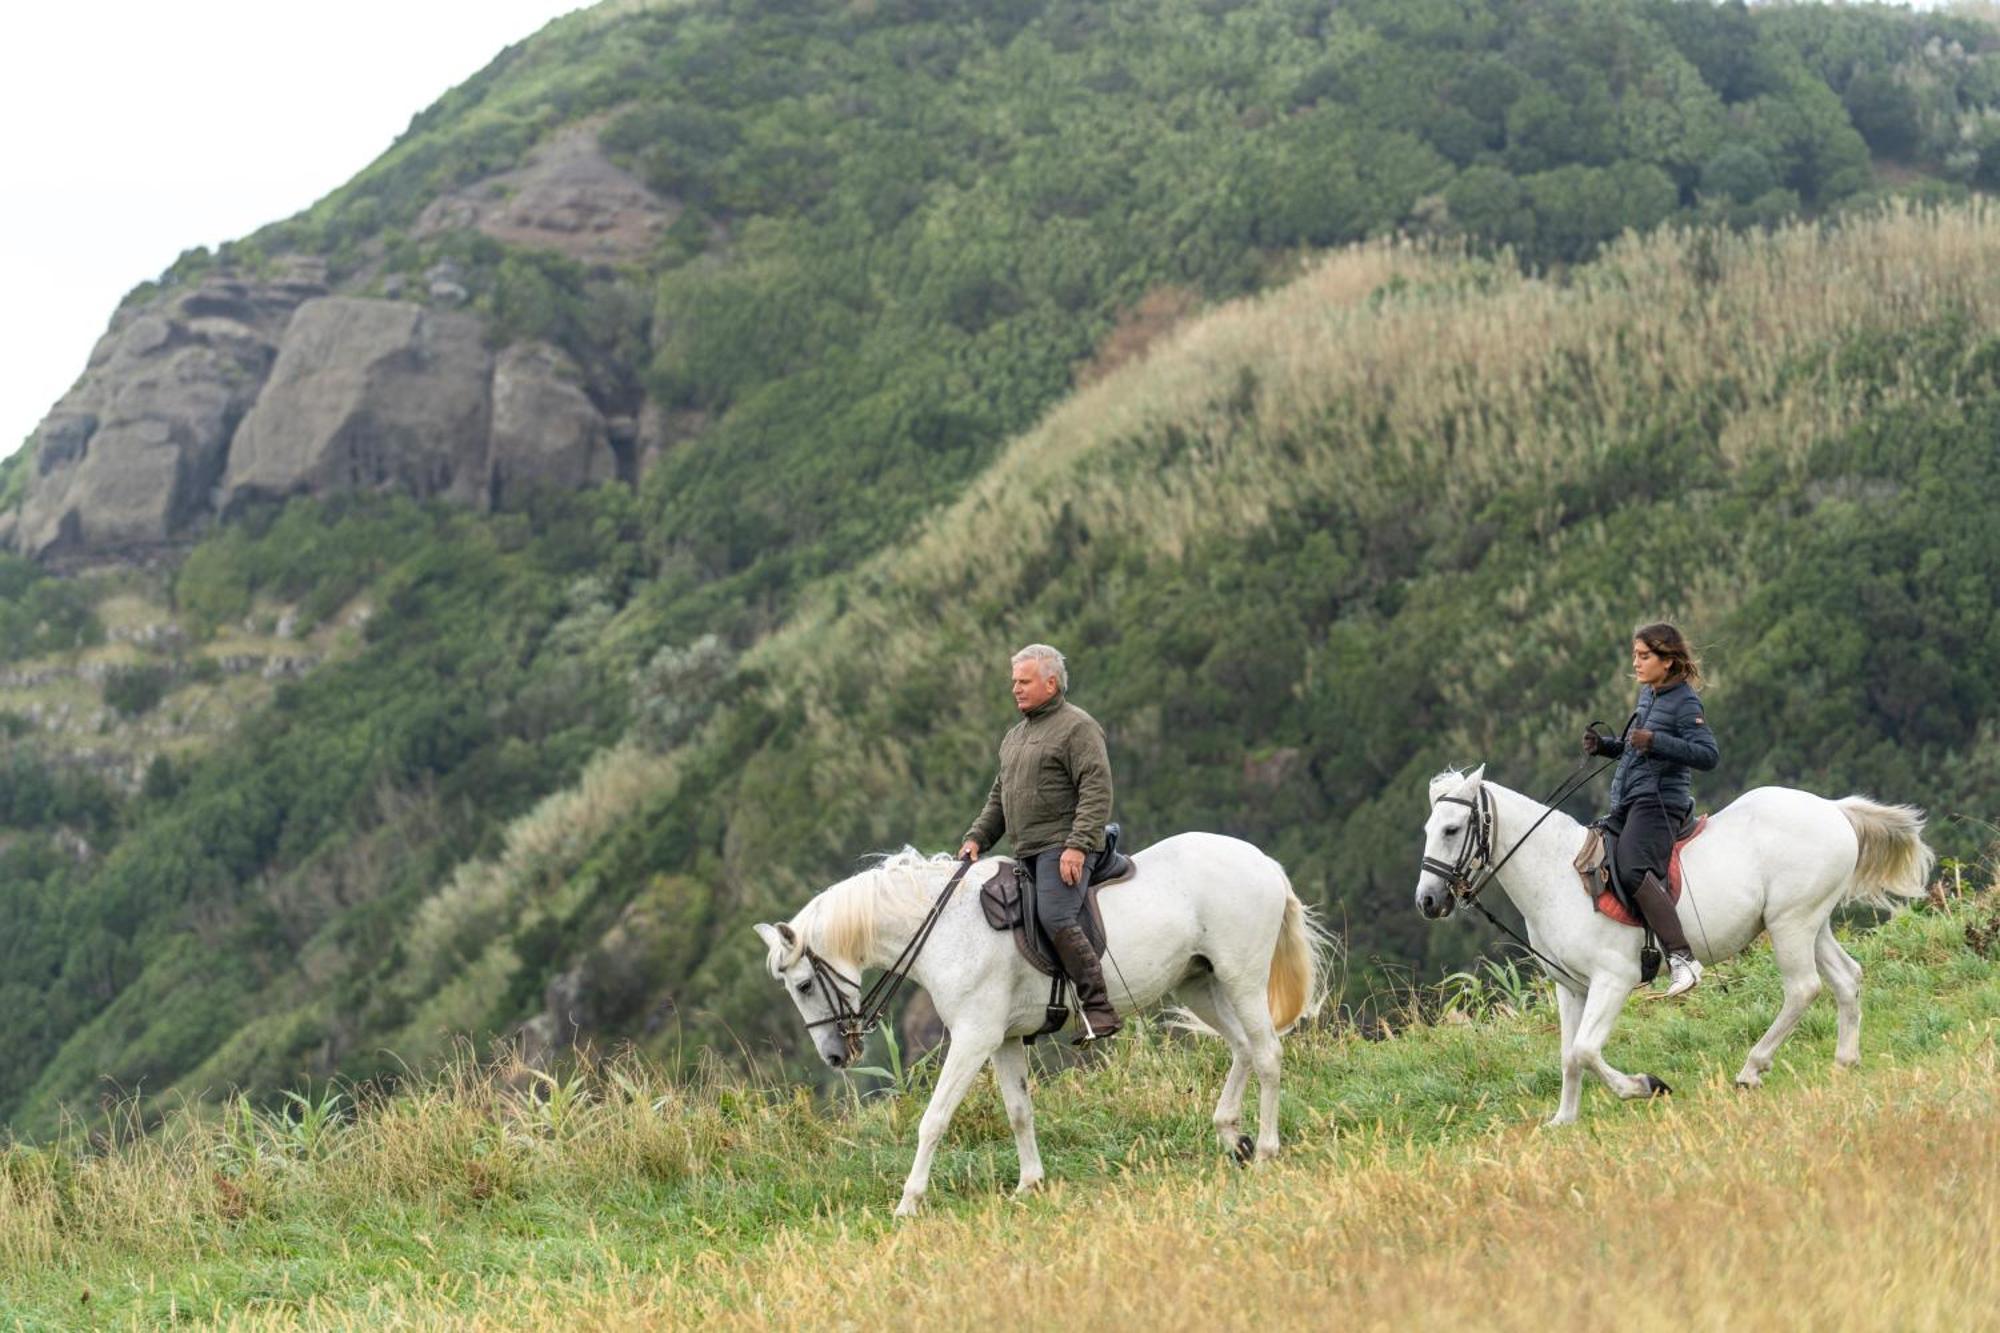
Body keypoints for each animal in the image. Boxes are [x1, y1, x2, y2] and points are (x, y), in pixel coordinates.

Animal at [752, 832, 1328, 1216]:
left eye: (803, 986)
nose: (835, 1055)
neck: (947, 927)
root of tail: (1262, 862)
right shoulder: (1003, 1040)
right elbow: (1018, 1112)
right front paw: (1029, 1184)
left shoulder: (974, 1039)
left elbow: (934, 1120)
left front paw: (908, 1203)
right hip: (1200, 984)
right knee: (1243, 1049)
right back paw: (1232, 1137)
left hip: (1242, 977)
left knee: (1267, 1055)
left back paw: (1266, 1150)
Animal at [1416, 768, 1928, 1120]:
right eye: (1427, 829)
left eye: (1451, 830)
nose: (1428, 901)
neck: (1559, 876)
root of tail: (1832, 809)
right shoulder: (1571, 987)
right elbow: (1568, 1055)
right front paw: (1564, 1120)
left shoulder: (1613, 980)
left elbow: (1585, 1050)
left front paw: (1646, 1085)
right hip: (1808, 922)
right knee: (1846, 977)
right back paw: (1845, 1062)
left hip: (1791, 925)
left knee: (1803, 989)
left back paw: (1751, 1069)